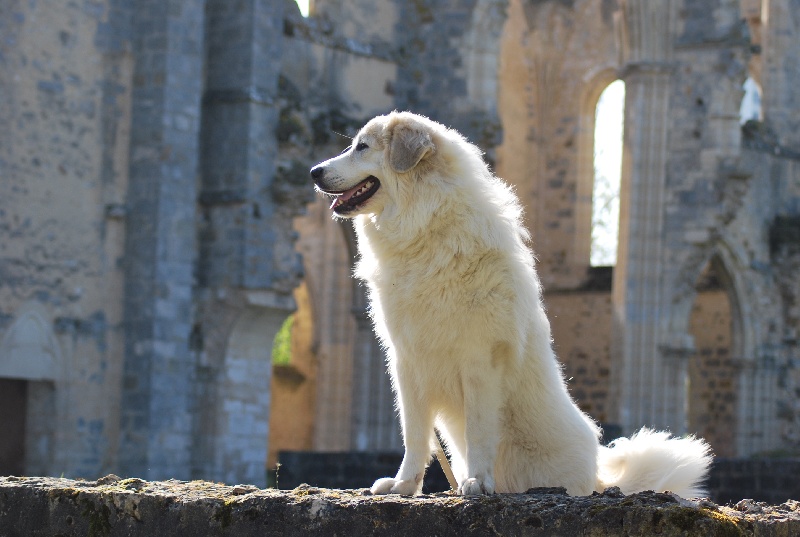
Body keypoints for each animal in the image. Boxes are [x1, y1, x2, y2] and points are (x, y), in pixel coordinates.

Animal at [310, 111, 708, 496]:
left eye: (362, 147)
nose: (314, 172)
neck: (425, 226)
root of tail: (600, 481)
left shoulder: (479, 359)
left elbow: (478, 430)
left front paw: (476, 482)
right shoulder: (407, 362)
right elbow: (416, 436)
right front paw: (404, 485)